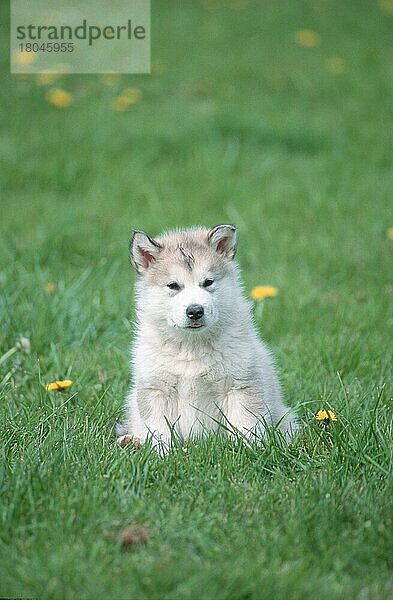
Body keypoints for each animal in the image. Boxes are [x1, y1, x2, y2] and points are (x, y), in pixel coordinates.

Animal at [116, 225, 298, 450]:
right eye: (173, 285)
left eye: (208, 282)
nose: (195, 311)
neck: (191, 347)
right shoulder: (156, 388)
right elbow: (159, 430)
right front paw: (162, 453)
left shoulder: (240, 385)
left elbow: (245, 424)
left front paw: (248, 450)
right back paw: (132, 441)